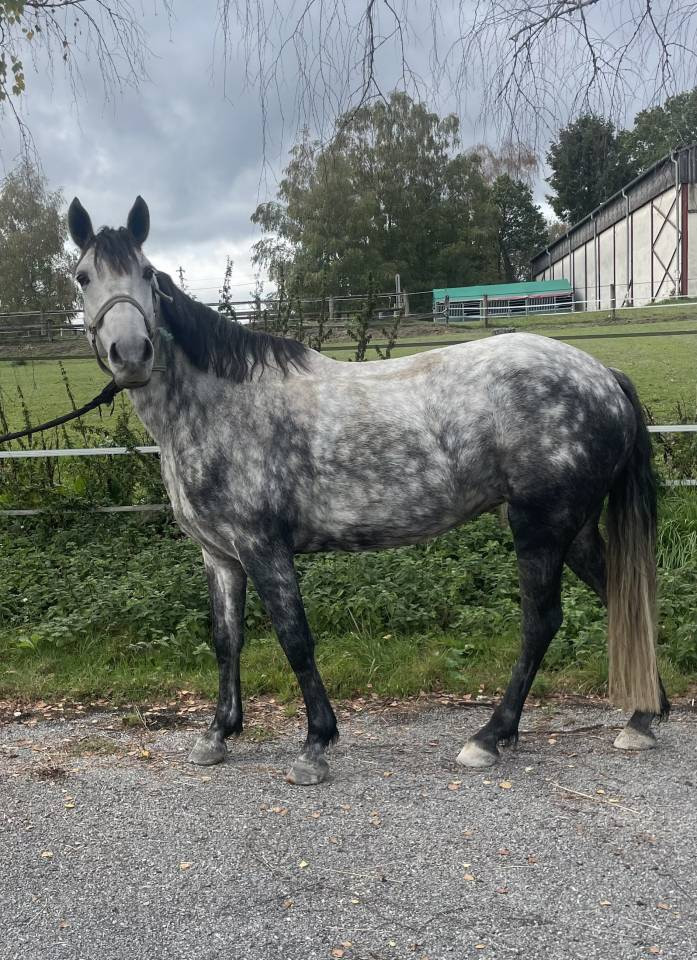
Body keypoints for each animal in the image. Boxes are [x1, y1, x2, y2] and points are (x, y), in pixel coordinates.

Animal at [66, 196, 669, 785]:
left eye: (146, 273)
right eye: (82, 276)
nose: (131, 353)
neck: (219, 406)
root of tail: (604, 376)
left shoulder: (264, 547)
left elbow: (294, 638)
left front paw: (315, 745)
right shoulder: (221, 556)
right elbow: (226, 640)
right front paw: (218, 733)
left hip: (540, 526)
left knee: (541, 622)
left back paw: (489, 738)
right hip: (576, 528)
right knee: (621, 598)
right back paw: (643, 717)